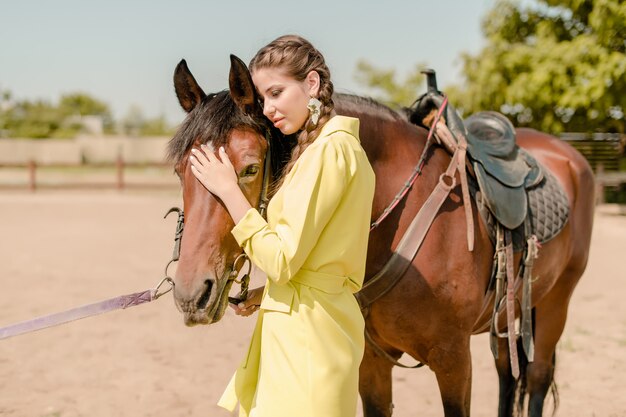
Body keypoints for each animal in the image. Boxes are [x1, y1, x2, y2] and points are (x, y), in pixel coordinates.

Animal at [167, 56, 596, 416]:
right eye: (179, 169)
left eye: (250, 169)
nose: (191, 292)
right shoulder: (371, 362)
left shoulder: (454, 359)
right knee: (509, 373)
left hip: (556, 303)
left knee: (535, 379)